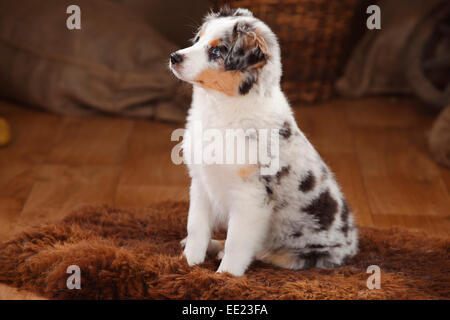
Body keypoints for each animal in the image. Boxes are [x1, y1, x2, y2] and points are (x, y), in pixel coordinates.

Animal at [170, 6, 358, 276]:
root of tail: (351, 247)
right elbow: (196, 226)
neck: (218, 108)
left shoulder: (251, 196)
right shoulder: (201, 182)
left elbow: (237, 241)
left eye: (216, 51)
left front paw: (225, 276)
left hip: (301, 253)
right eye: (198, 40)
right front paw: (187, 263)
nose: (174, 57)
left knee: (264, 252)